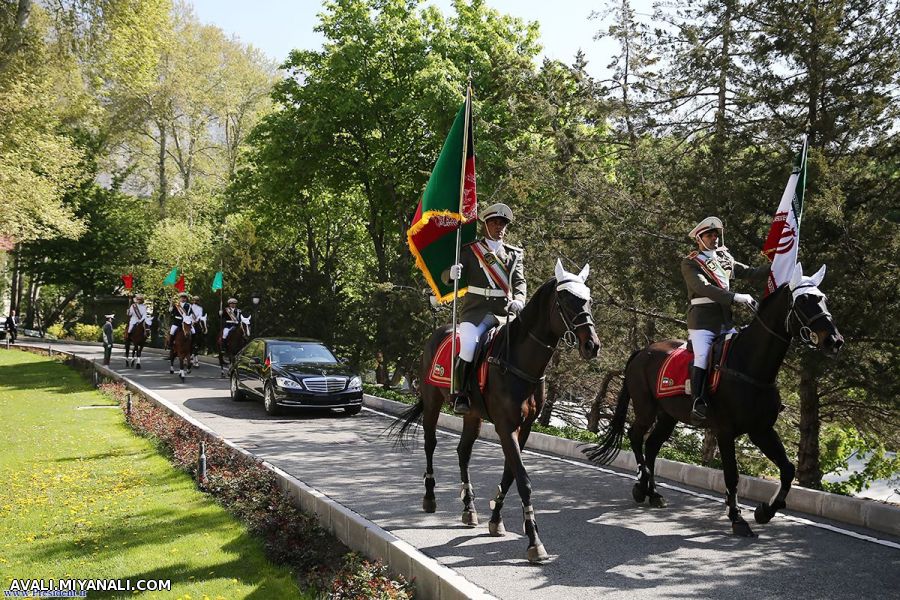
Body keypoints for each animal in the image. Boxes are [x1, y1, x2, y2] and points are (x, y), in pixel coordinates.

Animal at [390, 258, 600, 564]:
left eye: (589, 300)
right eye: (565, 300)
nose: (592, 345)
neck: (519, 360)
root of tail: (440, 330)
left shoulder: (524, 427)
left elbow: (510, 473)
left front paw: (496, 518)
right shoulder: (505, 425)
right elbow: (523, 479)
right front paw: (534, 541)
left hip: (472, 414)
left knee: (463, 452)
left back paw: (469, 508)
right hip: (432, 403)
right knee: (430, 443)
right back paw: (430, 497)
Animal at [584, 264, 844, 536]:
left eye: (824, 299)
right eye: (803, 301)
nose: (834, 341)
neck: (751, 365)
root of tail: (643, 351)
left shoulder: (761, 430)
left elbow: (788, 469)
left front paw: (765, 511)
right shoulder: (725, 431)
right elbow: (732, 475)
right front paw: (737, 518)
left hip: (668, 416)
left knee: (652, 445)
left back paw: (653, 493)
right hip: (646, 408)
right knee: (636, 436)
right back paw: (641, 486)